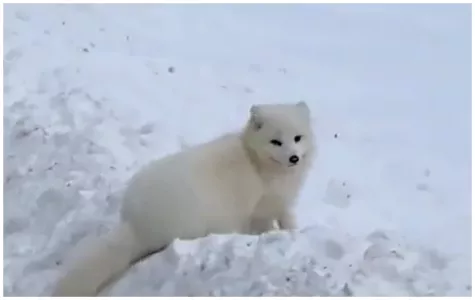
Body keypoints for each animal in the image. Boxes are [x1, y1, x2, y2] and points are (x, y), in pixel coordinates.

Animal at [52, 101, 316, 296]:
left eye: (298, 138)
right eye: (276, 142)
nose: (294, 158)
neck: (258, 163)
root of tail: (134, 221)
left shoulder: (284, 203)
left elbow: (290, 221)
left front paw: (295, 233)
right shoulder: (261, 210)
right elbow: (266, 228)